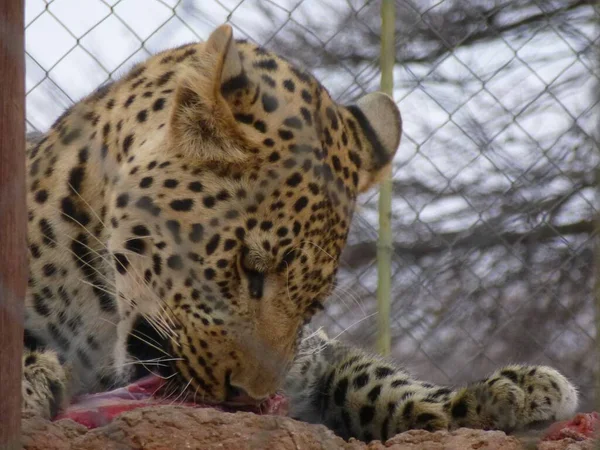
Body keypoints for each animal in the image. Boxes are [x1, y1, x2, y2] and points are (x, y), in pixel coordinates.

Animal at [22, 22, 576, 442]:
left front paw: (505, 392)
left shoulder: (313, 354)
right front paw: (32, 384)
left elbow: (371, 378)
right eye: (249, 268)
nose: (247, 396)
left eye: (313, 304)